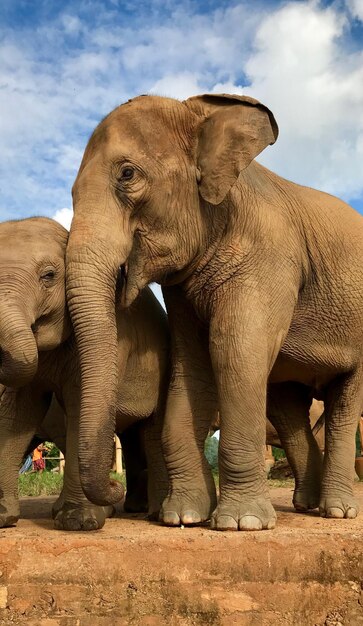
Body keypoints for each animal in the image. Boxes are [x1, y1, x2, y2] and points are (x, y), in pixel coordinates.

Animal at [0, 217, 170, 528]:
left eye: (49, 276)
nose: (116, 485)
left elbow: (79, 405)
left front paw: (79, 523)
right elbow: (17, 412)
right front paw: (3, 518)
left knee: (152, 433)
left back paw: (155, 513)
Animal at [67, 94, 363, 532]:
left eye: (127, 174)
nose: (116, 491)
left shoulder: (269, 256)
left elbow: (233, 351)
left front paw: (242, 524)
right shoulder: (182, 289)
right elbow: (192, 365)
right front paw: (182, 517)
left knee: (344, 401)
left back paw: (338, 511)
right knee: (288, 406)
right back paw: (308, 505)